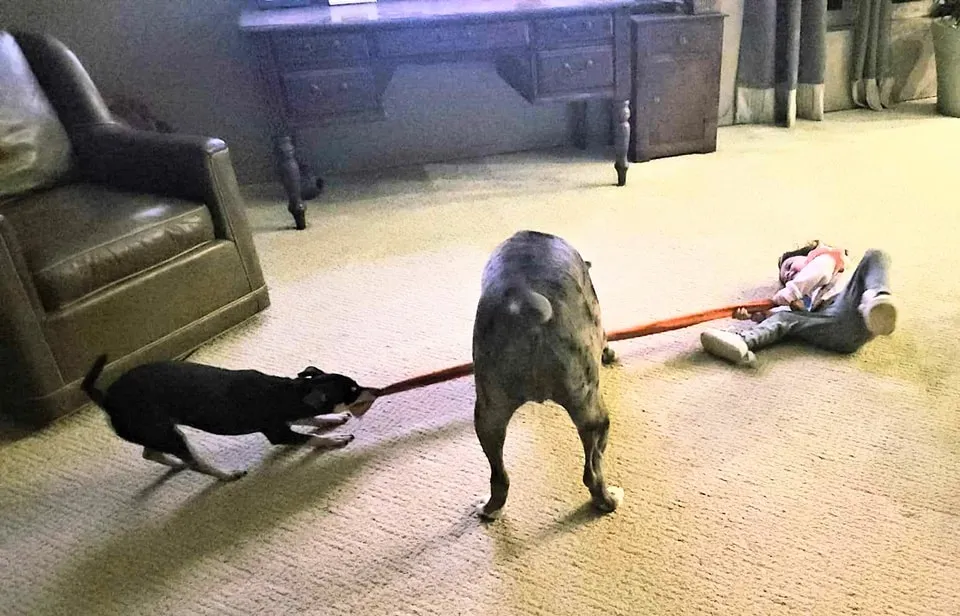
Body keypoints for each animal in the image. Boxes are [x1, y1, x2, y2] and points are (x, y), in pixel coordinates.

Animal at [82, 356, 376, 482]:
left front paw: (334, 419)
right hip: (164, 432)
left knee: (150, 452)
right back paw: (226, 475)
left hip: (158, 430)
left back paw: (175, 464)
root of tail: (106, 400)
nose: (373, 390)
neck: (290, 392)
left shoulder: (286, 420)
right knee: (195, 463)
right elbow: (312, 437)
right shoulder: (277, 432)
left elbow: (311, 420)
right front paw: (335, 439)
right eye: (353, 390)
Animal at [472, 231, 624, 520]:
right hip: (592, 413)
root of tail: (526, 307)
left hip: (489, 416)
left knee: (499, 478)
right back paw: (608, 501)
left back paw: (490, 509)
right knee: (592, 472)